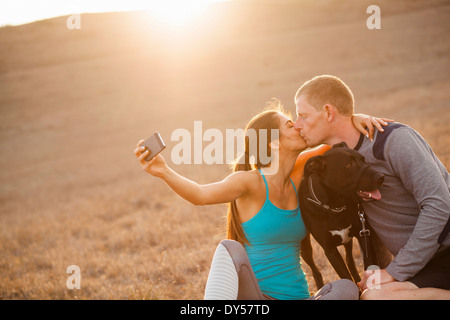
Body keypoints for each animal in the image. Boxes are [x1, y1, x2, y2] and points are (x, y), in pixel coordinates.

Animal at [298, 142, 384, 288]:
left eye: (363, 160)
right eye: (349, 165)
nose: (381, 177)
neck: (335, 207)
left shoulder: (363, 235)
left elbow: (367, 266)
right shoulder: (330, 250)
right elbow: (345, 276)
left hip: (348, 240)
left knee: (350, 261)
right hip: (305, 248)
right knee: (315, 270)